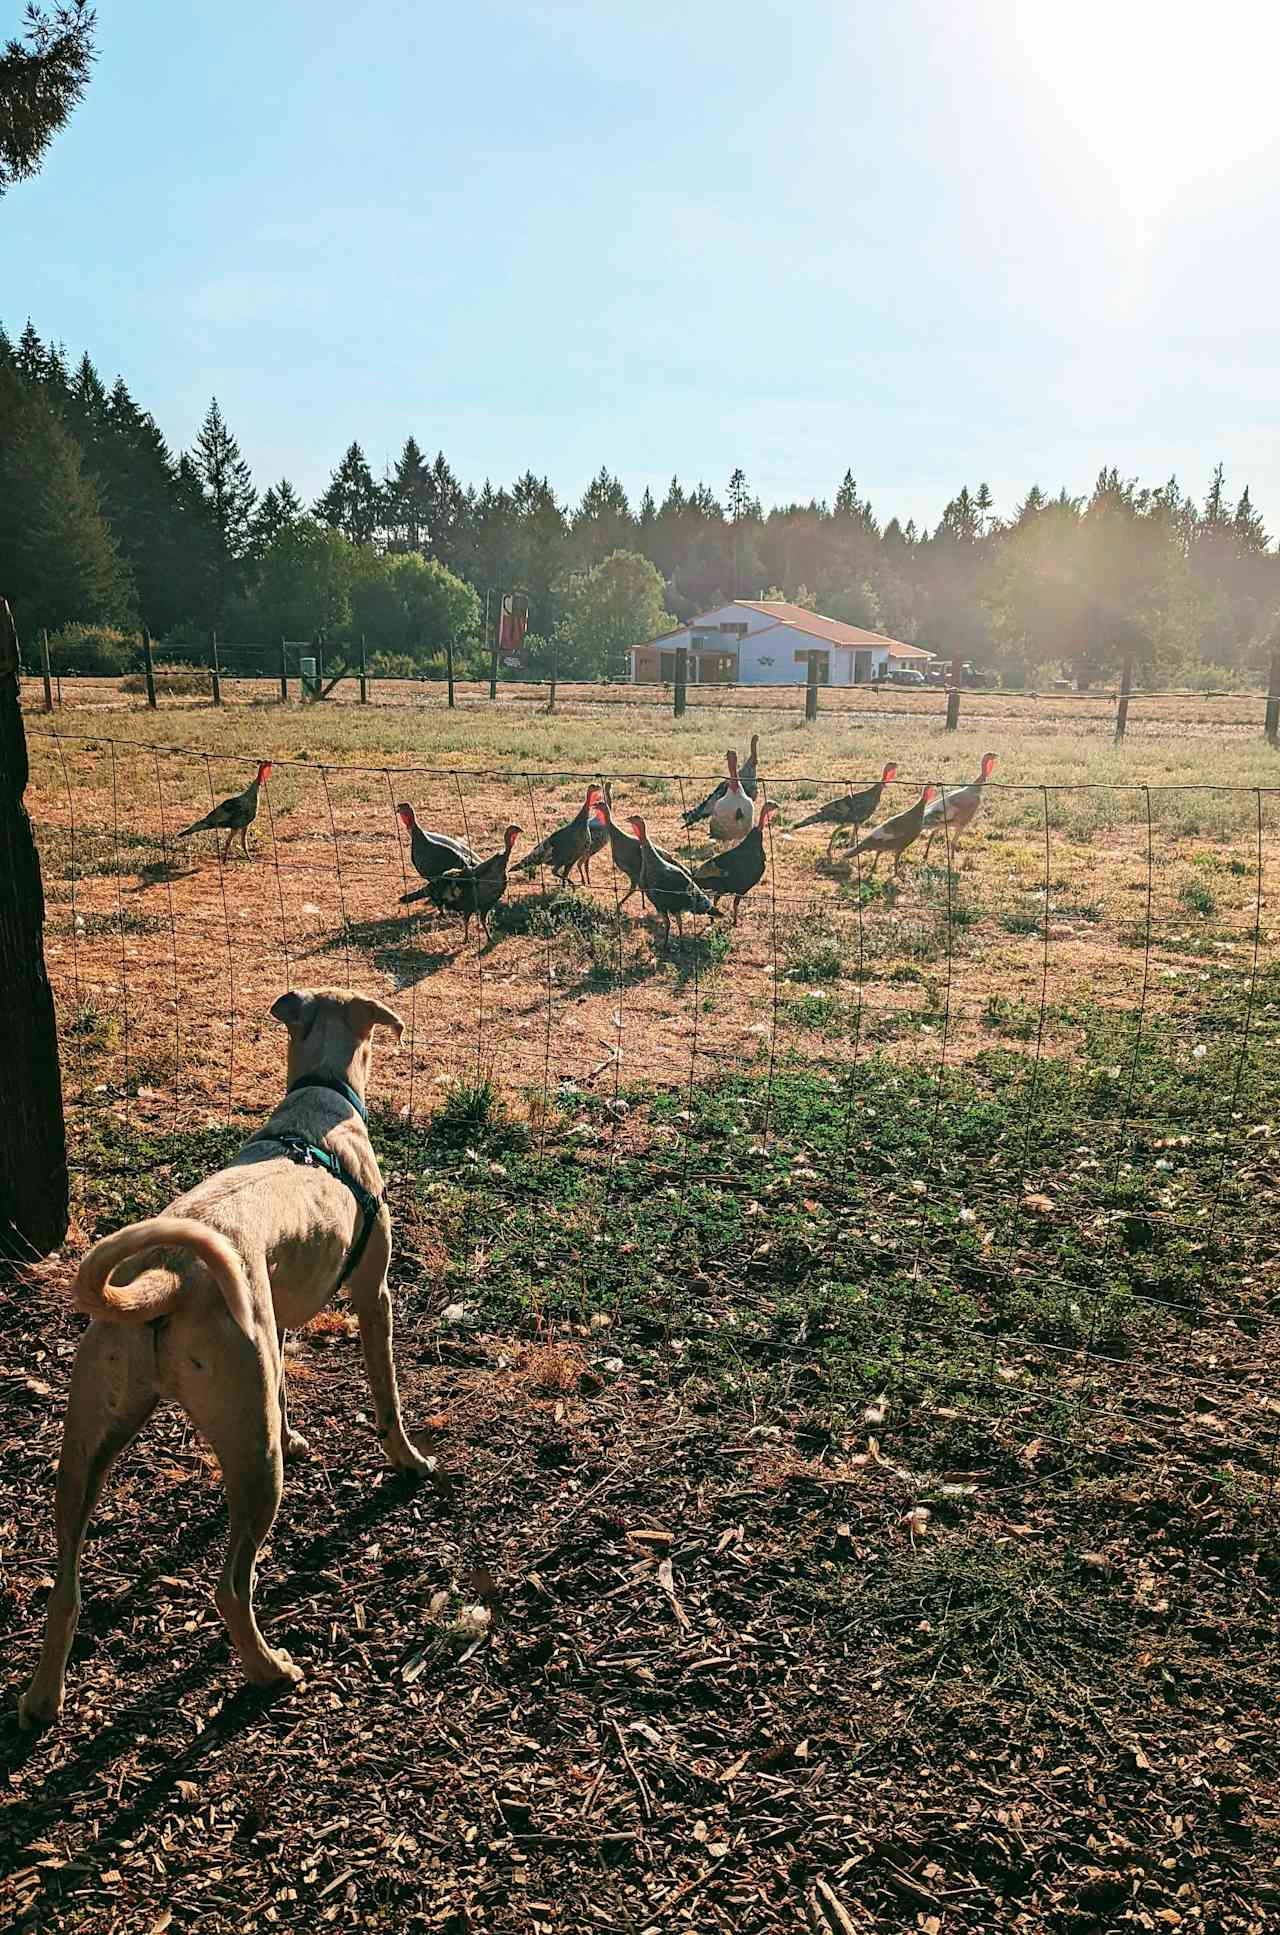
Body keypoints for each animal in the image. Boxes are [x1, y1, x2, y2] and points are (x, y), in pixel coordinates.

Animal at [18, 990, 429, 1733]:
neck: (319, 1100)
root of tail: (169, 1276)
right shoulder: (373, 1295)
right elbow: (386, 1397)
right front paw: (408, 1459)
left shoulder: (277, 1324)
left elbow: (285, 1388)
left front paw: (298, 1433)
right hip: (251, 1462)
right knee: (231, 1586)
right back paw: (269, 1670)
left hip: (85, 1450)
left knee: (65, 1591)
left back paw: (41, 1699)